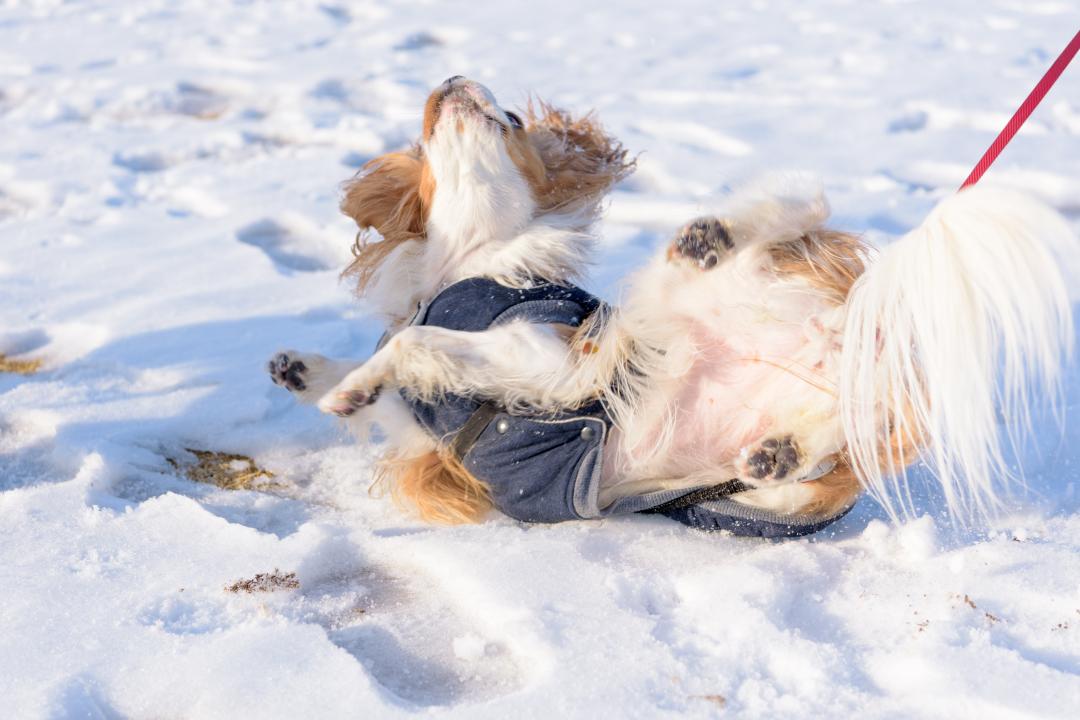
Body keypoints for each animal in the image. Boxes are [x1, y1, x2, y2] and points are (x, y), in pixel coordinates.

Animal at [267, 76, 1071, 535]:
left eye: (513, 119)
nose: (455, 78)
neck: (474, 263)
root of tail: (843, 330)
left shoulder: (557, 365)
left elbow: (410, 346)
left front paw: (346, 385)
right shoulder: (426, 434)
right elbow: (390, 372)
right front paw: (309, 371)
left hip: (667, 308)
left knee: (803, 209)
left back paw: (709, 236)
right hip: (765, 491)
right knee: (840, 436)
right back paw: (778, 445)